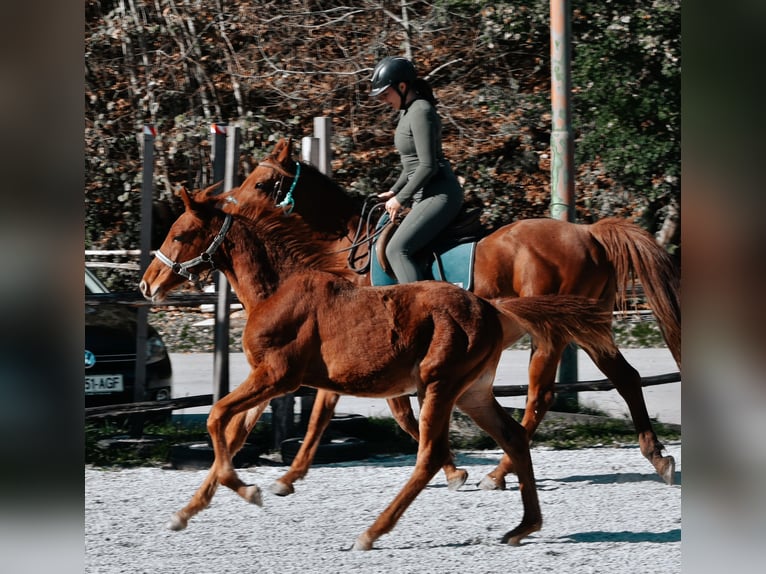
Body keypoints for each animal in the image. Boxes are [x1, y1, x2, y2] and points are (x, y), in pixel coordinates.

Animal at [140, 187, 616, 552]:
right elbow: (234, 432)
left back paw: (372, 533)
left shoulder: (278, 376)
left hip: (439, 384)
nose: (148, 284)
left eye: (181, 233)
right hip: (473, 391)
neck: (278, 290)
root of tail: (491, 308)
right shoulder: (270, 381)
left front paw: (252, 491)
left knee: (430, 454)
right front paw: (186, 513)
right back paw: (523, 525)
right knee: (514, 436)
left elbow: (216, 416)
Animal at [237, 138, 680, 490]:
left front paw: (449, 467)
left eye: (260, 183)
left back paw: (500, 473)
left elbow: (402, 411)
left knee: (540, 396)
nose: (229, 206)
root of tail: (588, 233)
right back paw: (659, 458)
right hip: (587, 327)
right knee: (625, 377)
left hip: (551, 332)